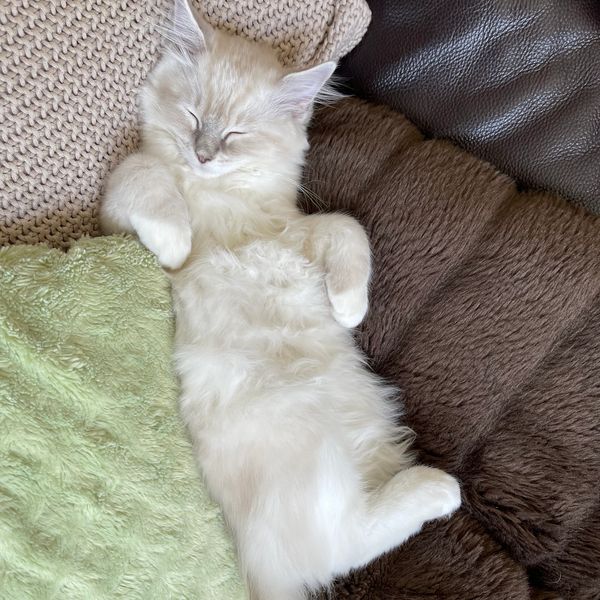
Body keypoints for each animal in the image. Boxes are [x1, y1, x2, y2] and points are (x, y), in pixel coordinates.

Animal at [101, 2, 462, 596]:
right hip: (307, 447)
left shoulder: (298, 232)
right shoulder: (116, 212)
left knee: (345, 546)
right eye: (193, 118)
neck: (221, 198)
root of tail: (261, 577)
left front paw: (349, 308)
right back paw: (438, 487)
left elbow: (347, 228)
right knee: (344, 544)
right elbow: (145, 175)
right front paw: (176, 242)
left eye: (236, 134)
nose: (202, 156)